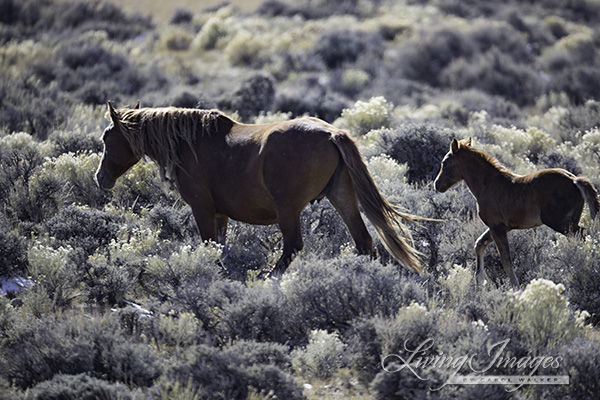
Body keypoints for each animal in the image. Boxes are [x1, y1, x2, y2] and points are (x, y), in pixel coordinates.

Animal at [95, 101, 422, 276]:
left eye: (107, 137)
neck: (190, 143)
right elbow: (220, 246)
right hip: (341, 196)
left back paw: (270, 277)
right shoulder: (219, 214)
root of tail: (332, 133)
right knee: (363, 241)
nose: (100, 178)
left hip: (288, 208)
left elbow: (209, 245)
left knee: (292, 246)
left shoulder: (202, 209)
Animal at [434, 138, 596, 288]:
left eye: (445, 163)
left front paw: (516, 289)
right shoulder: (501, 227)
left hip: (559, 222)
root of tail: (574, 179)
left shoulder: (497, 227)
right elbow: (479, 244)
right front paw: (479, 282)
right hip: (571, 221)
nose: (437, 184)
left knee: (584, 235)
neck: (487, 184)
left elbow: (506, 260)